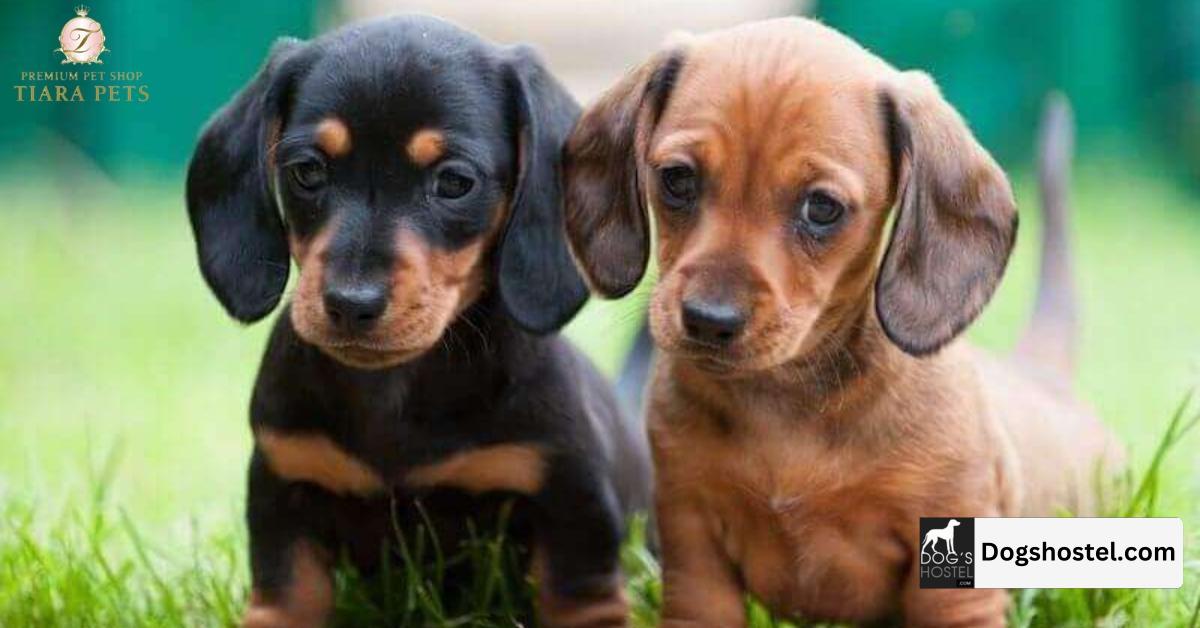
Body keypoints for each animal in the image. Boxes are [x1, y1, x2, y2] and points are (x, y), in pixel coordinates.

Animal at [184, 15, 648, 628]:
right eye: (307, 170)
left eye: (454, 182)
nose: (350, 303)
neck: (395, 389)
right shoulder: (285, 486)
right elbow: (286, 595)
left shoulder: (572, 499)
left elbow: (580, 598)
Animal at [566, 17, 1118, 624]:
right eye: (677, 179)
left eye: (822, 208)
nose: (709, 321)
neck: (786, 404)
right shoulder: (694, 539)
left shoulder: (952, 579)